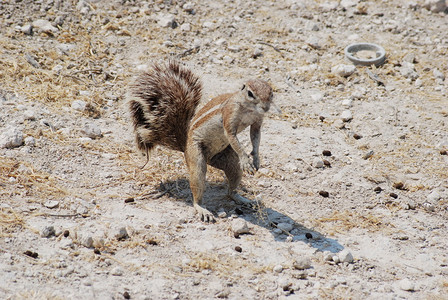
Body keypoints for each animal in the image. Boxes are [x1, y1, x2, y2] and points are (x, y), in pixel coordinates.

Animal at [128, 59, 278, 221]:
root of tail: (185, 145)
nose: (266, 108)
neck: (249, 109)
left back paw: (242, 199)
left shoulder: (257, 122)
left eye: (271, 93)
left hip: (228, 161)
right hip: (196, 159)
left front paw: (256, 159)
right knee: (197, 188)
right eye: (250, 93)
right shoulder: (229, 116)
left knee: (230, 190)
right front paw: (246, 160)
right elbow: (233, 137)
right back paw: (202, 209)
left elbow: (255, 137)